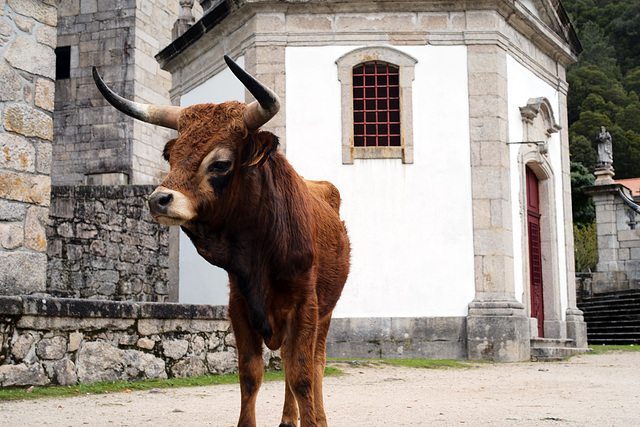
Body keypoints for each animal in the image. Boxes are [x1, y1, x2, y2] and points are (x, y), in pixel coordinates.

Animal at [94, 54, 350, 427]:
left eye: (220, 163)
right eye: (172, 157)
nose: (158, 200)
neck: (261, 249)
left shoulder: (306, 305)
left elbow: (302, 375)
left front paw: (313, 420)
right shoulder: (239, 305)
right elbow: (250, 374)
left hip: (326, 312)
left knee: (313, 364)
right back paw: (288, 418)